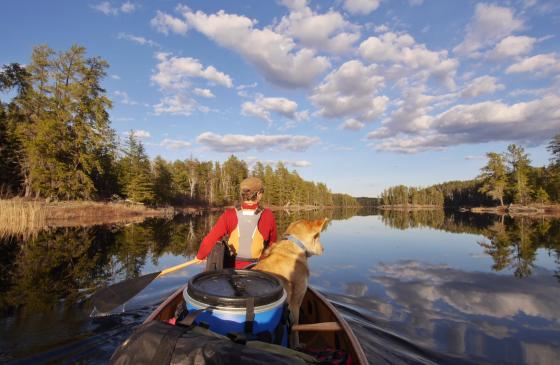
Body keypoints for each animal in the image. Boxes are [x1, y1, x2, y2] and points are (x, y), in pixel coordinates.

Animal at [253, 218, 326, 346]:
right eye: (317, 236)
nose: (323, 249)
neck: (295, 246)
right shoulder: (295, 303)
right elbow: (295, 328)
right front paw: (297, 345)